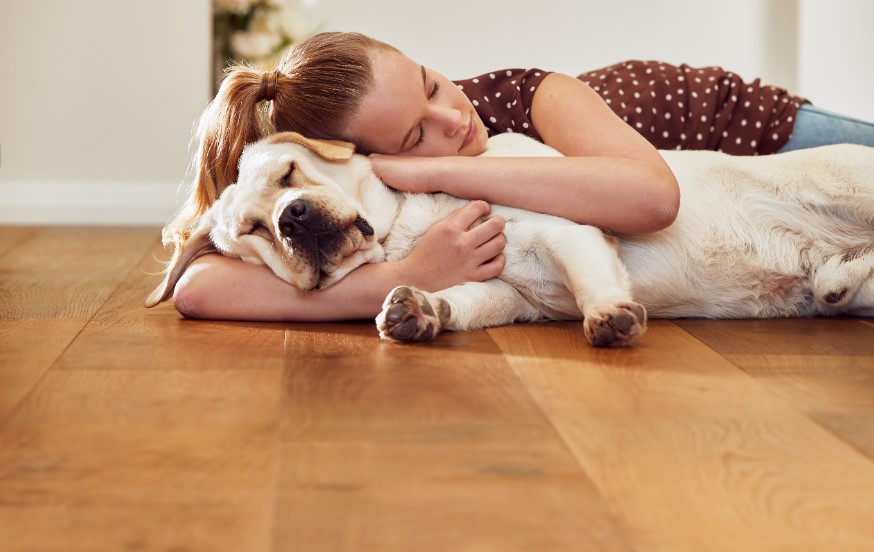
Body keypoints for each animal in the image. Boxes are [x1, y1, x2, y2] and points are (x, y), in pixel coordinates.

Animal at [145, 132, 872, 348]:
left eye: (289, 175)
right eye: (253, 230)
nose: (292, 218)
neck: (404, 229)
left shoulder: (567, 230)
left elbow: (590, 279)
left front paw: (609, 315)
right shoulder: (506, 293)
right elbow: (464, 301)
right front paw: (418, 311)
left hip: (851, 183)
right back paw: (837, 278)